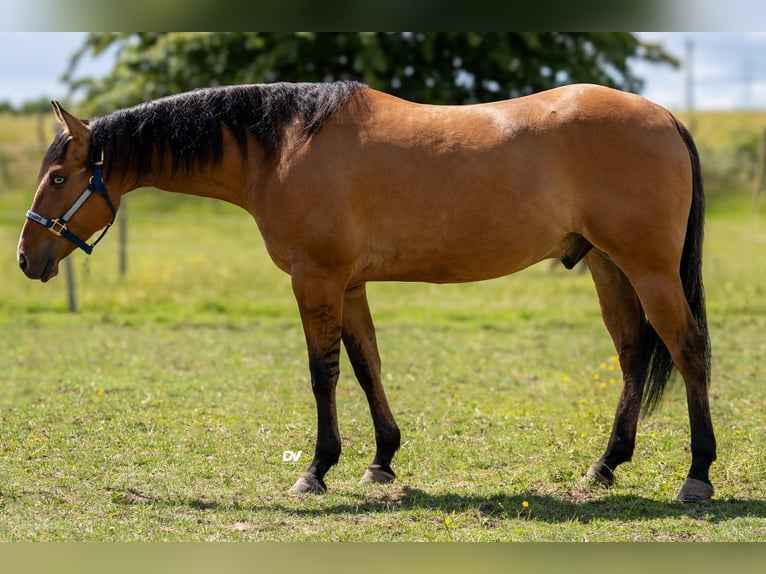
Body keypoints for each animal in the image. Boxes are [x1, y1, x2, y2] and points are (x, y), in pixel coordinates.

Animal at [16, 81, 716, 501]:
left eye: (59, 177)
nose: (26, 258)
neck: (285, 146)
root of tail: (665, 116)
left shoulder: (317, 279)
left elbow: (322, 372)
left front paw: (316, 470)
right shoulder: (349, 285)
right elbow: (366, 365)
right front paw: (381, 459)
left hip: (649, 270)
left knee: (688, 352)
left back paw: (697, 475)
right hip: (608, 267)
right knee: (633, 356)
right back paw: (606, 464)